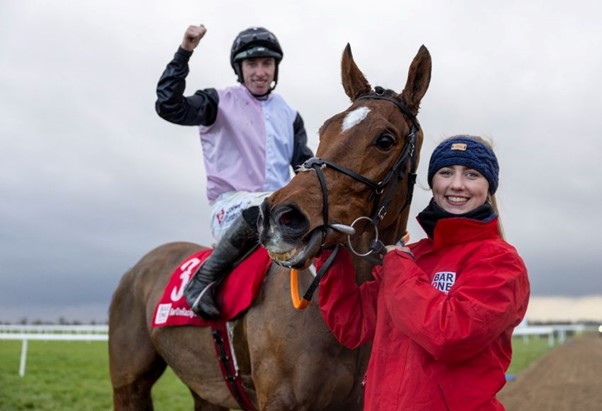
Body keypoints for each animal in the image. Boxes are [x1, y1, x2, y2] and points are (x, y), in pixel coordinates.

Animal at [106, 43, 426, 410]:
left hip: (205, 393)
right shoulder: (278, 400)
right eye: (324, 129)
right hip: (129, 385)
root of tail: (137, 268)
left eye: (385, 139)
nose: (280, 215)